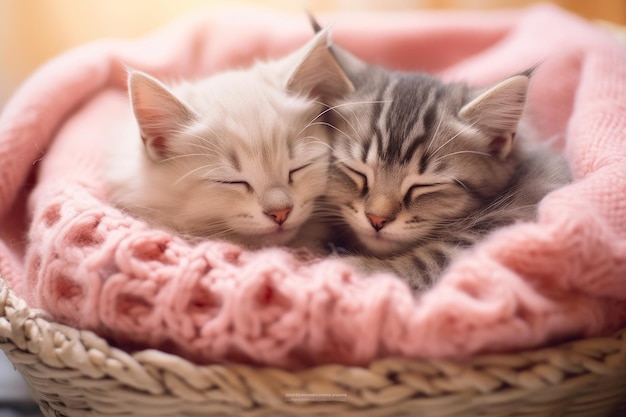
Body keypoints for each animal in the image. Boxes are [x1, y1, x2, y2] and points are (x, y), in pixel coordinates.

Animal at [316, 25, 572, 290]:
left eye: (425, 185)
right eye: (356, 171)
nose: (376, 219)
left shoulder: (501, 226)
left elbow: (424, 263)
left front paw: (348, 266)